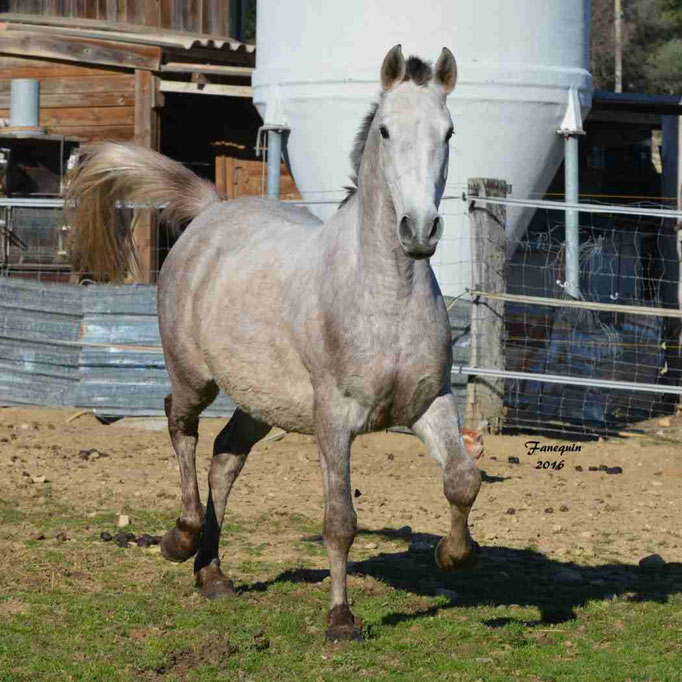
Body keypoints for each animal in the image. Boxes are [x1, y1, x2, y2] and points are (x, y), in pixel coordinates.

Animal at [65, 45, 478, 640]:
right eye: (385, 131)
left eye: (448, 132)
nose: (419, 230)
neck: (385, 297)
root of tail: (211, 210)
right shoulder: (335, 418)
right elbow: (339, 520)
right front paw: (341, 620)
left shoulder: (429, 402)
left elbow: (463, 479)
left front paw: (453, 554)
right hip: (194, 376)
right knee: (180, 425)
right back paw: (180, 539)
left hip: (264, 403)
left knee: (225, 457)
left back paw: (212, 574)